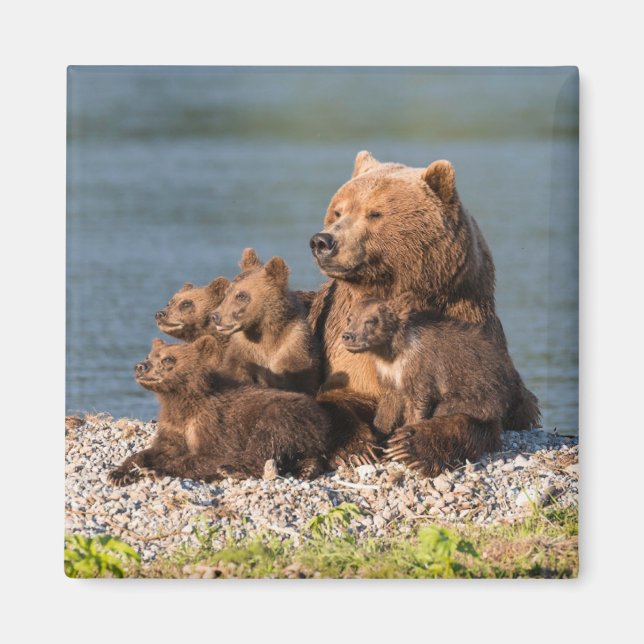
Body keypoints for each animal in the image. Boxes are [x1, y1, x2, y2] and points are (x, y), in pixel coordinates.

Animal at [107, 336, 332, 486]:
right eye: (149, 355)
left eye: (168, 359)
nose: (140, 366)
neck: (181, 399)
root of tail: (321, 415)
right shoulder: (174, 425)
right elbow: (156, 449)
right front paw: (119, 473)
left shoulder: (214, 423)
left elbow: (214, 454)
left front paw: (157, 469)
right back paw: (306, 469)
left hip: (287, 414)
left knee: (267, 440)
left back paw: (232, 470)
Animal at [341, 295, 525, 474]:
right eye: (350, 318)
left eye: (371, 320)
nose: (348, 336)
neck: (393, 351)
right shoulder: (389, 374)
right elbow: (388, 405)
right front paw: (377, 437)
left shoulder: (422, 368)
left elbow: (417, 402)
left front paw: (401, 439)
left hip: (481, 395)